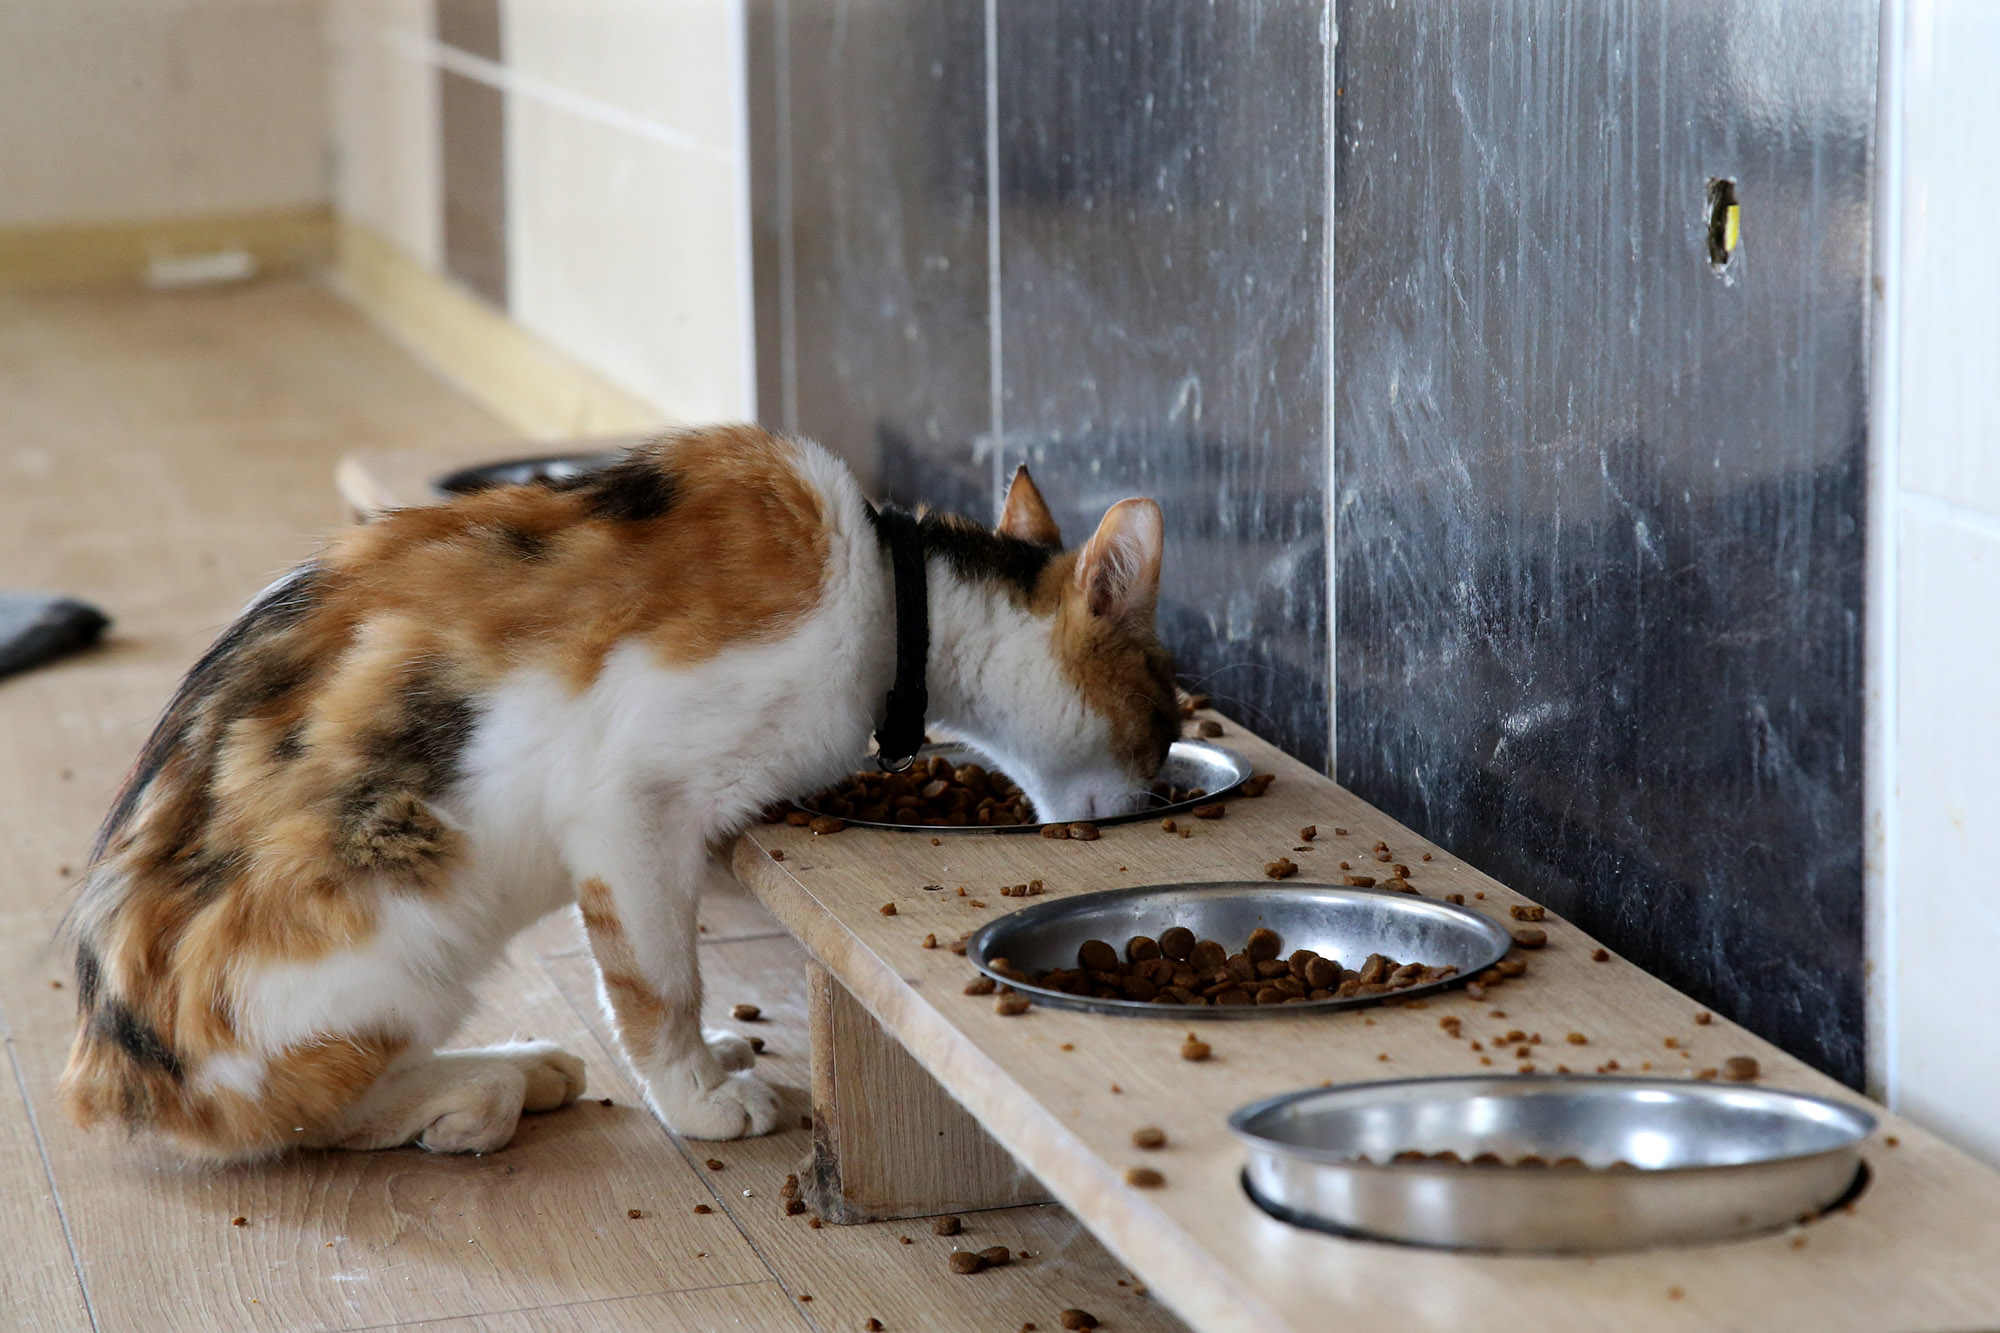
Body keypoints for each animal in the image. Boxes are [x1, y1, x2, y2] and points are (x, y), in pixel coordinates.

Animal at [58, 422, 1184, 1152]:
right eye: (1166, 717)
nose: (1157, 791)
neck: (890, 593)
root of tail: (106, 1075)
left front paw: (715, 1064)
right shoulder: (626, 805)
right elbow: (659, 980)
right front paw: (698, 1101)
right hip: (403, 912)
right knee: (295, 1115)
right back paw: (489, 1085)